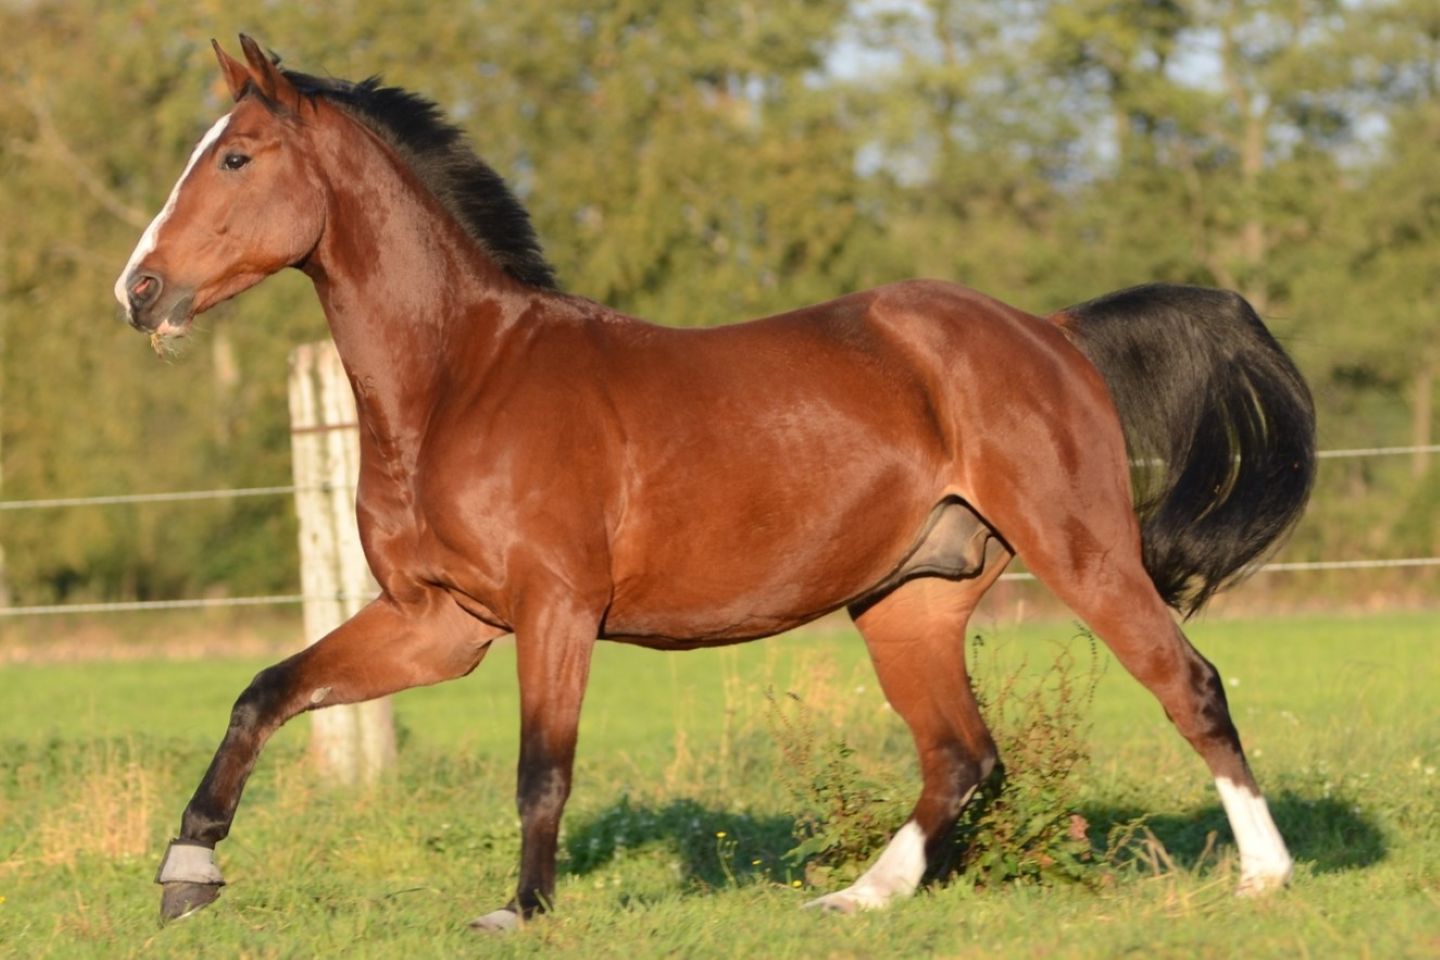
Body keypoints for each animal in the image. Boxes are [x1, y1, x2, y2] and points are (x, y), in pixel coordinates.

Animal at [116, 37, 1315, 930]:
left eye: (236, 159)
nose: (140, 291)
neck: (465, 379)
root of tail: (1051, 331)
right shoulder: (437, 623)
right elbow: (266, 692)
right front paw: (188, 875)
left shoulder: (555, 609)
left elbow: (542, 769)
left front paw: (521, 910)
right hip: (911, 599)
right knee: (961, 755)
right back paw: (856, 900)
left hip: (1083, 551)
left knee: (1188, 685)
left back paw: (1267, 876)